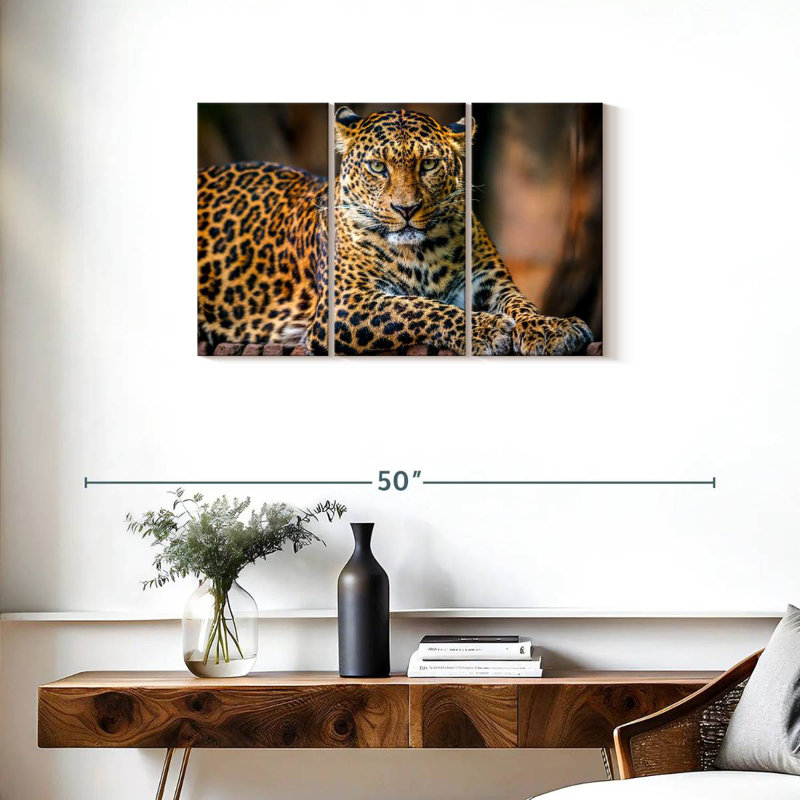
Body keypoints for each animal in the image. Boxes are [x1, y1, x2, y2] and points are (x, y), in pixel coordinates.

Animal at [197, 106, 594, 356]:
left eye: (429, 164)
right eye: (377, 167)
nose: (406, 209)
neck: (423, 252)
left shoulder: (489, 281)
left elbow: (521, 304)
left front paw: (550, 328)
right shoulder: (345, 303)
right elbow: (416, 308)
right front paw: (485, 328)